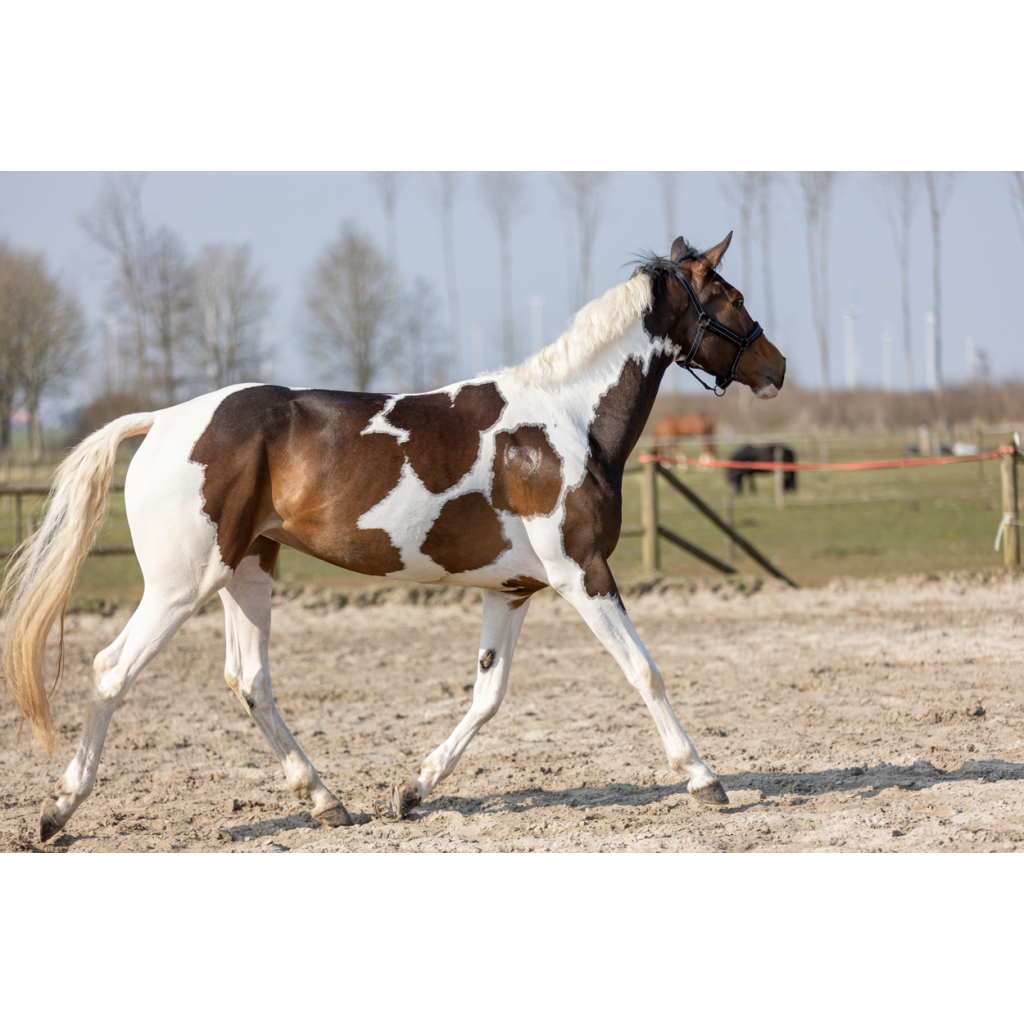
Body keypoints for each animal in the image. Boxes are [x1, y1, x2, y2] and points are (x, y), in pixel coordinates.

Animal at [1, 232, 785, 842]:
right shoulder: (582, 573)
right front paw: (704, 779)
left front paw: (411, 790)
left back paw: (327, 802)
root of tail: (161, 420)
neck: (564, 422)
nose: (776, 366)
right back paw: (57, 811)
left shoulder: (513, 589)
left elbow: (488, 696)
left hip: (246, 572)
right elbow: (644, 671)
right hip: (178, 585)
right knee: (111, 670)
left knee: (250, 680)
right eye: (732, 297)